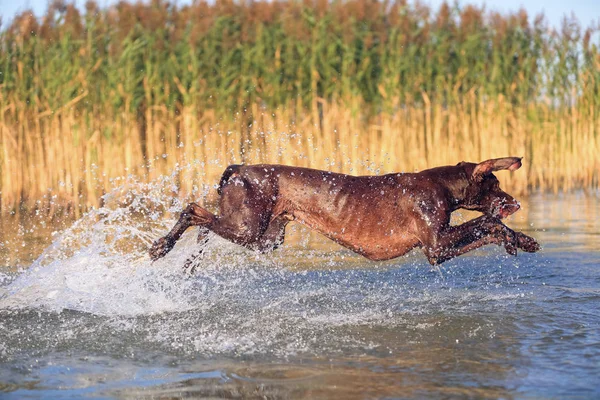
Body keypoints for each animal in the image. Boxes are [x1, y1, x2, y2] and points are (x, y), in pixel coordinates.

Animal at [149, 158, 540, 268]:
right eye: (494, 184)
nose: (514, 202)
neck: (442, 184)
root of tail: (240, 168)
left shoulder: (438, 247)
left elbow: (488, 228)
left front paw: (522, 239)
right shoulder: (436, 245)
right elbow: (488, 222)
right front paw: (514, 236)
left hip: (264, 237)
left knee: (206, 224)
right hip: (248, 228)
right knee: (192, 210)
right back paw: (161, 246)